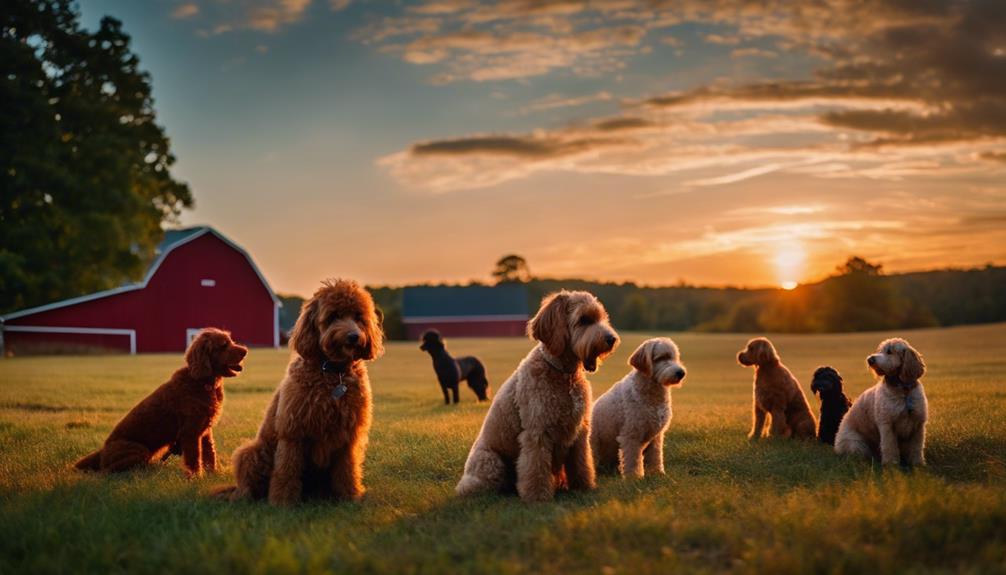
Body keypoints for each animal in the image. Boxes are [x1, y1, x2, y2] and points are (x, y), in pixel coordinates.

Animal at [74, 327, 247, 476]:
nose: (245, 351)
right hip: (139, 450)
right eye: (223, 345)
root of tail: (102, 452)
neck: (202, 383)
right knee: (108, 471)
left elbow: (210, 454)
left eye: (231, 341)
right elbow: (194, 459)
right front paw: (196, 478)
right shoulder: (190, 433)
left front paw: (213, 474)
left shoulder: (205, 432)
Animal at [221, 279, 384, 502]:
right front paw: (283, 502)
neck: (333, 372)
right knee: (248, 484)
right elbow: (286, 470)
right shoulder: (293, 432)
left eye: (358, 317)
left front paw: (350, 496)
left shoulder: (348, 436)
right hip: (252, 452)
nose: (353, 336)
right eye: (333, 316)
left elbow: (347, 469)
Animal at [458, 289, 615, 500]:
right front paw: (538, 497)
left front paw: (584, 487)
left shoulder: (579, 432)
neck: (564, 374)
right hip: (491, 463)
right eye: (583, 320)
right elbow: (536, 468)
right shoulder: (537, 432)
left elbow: (581, 464)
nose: (611, 339)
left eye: (601, 318)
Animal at [587, 339, 684, 478]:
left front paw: (657, 473)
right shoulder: (631, 434)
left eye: (675, 357)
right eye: (661, 358)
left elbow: (655, 456)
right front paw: (634, 477)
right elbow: (633, 459)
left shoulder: (656, 436)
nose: (681, 373)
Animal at [832, 337, 925, 466]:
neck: (903, 391)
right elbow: (889, 446)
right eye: (879, 350)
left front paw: (918, 464)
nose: (870, 359)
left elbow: (916, 447)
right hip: (856, 444)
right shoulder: (887, 425)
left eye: (889, 351)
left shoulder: (918, 425)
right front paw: (891, 465)